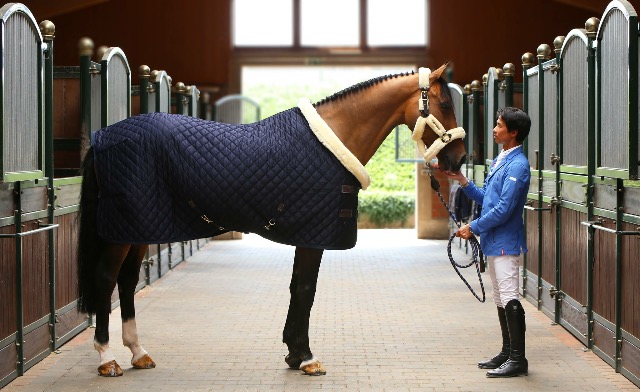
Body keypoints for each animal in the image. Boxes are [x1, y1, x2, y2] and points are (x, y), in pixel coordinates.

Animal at [75, 62, 468, 378]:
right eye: (445, 104)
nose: (460, 159)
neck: (333, 139)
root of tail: (102, 137)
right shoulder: (313, 236)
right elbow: (306, 290)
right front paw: (307, 357)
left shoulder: (306, 235)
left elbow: (297, 288)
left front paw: (293, 353)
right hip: (121, 231)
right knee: (106, 279)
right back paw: (107, 359)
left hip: (139, 227)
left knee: (127, 282)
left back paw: (138, 353)